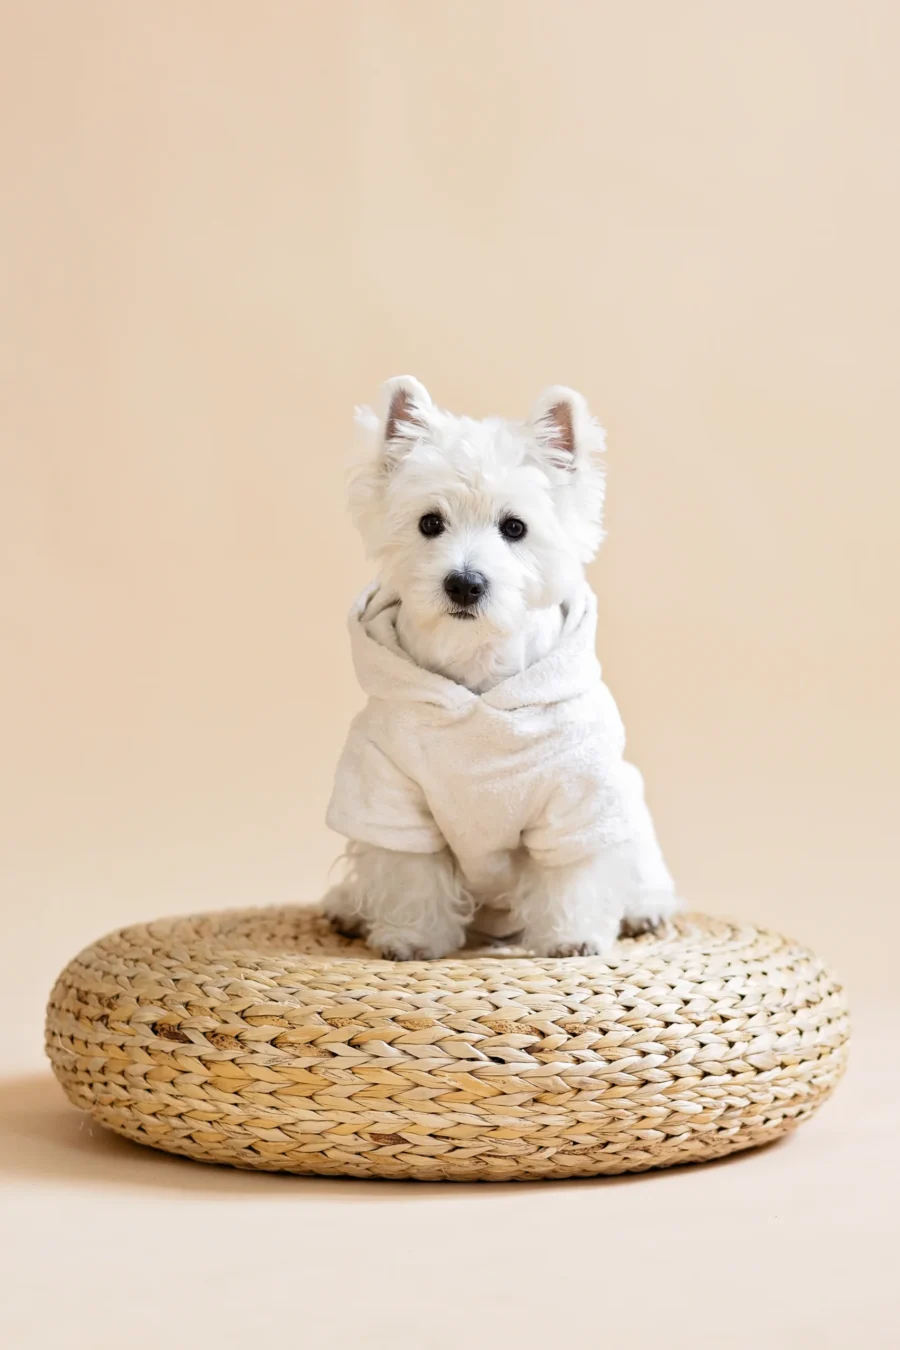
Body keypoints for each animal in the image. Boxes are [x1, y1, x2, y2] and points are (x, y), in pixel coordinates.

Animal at [319, 375, 680, 955]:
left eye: (514, 527)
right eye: (429, 522)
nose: (465, 582)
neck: (477, 663)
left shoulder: (577, 797)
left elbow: (571, 873)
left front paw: (572, 937)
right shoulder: (389, 792)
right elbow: (410, 872)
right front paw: (413, 938)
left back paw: (646, 910)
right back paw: (346, 909)